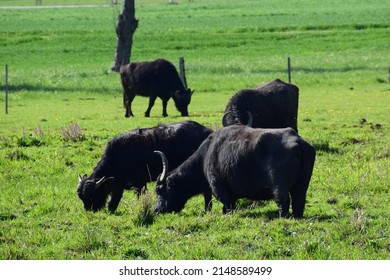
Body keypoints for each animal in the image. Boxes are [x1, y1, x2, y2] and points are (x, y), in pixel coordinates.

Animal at [77, 120, 212, 212]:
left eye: (92, 196)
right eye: (82, 198)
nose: (89, 210)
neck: (119, 156)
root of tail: (207, 131)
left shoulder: (140, 184)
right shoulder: (118, 186)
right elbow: (112, 204)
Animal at [154, 125, 316, 219]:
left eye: (159, 190)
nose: (156, 209)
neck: (206, 155)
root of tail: (298, 141)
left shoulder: (219, 188)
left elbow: (227, 206)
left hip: (279, 187)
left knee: (283, 201)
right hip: (301, 186)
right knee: (299, 201)